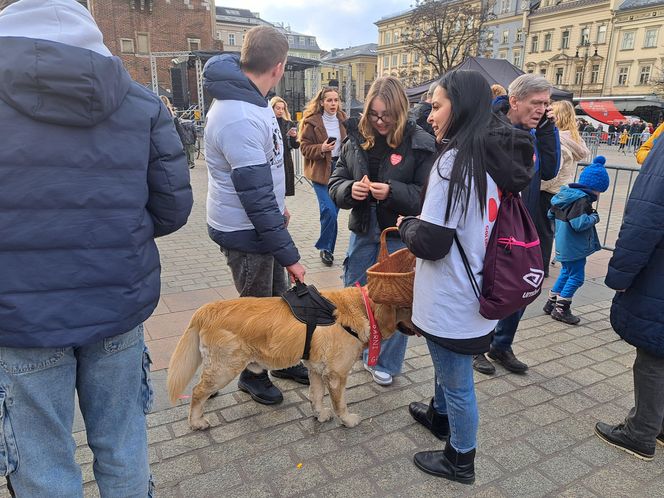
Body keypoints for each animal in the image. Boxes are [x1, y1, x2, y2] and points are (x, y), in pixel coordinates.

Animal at [169, 288, 412, 432]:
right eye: (409, 307)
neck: (362, 307)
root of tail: (205, 310)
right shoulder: (337, 375)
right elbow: (340, 403)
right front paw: (347, 420)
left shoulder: (316, 370)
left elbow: (316, 396)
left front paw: (319, 414)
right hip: (225, 368)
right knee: (198, 392)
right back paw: (196, 421)